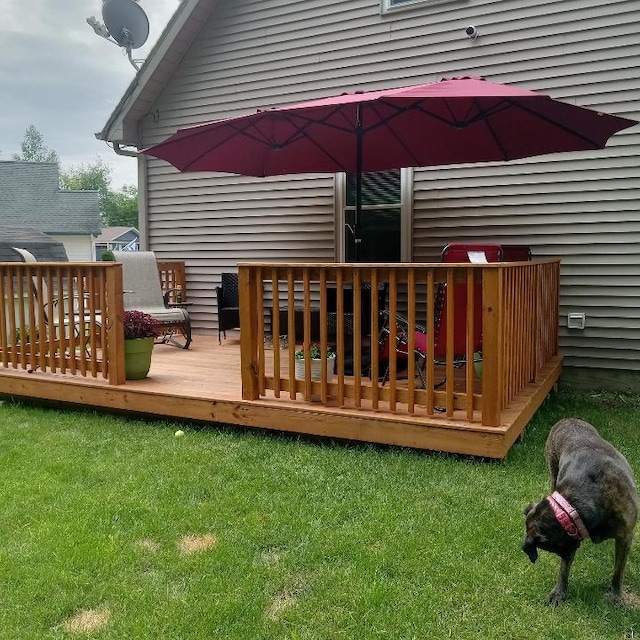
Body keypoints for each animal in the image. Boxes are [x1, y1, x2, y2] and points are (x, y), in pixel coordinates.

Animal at [524, 418, 636, 608]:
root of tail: (567, 419)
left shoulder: (625, 536)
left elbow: (618, 571)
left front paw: (615, 596)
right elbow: (564, 569)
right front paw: (559, 592)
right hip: (552, 472)